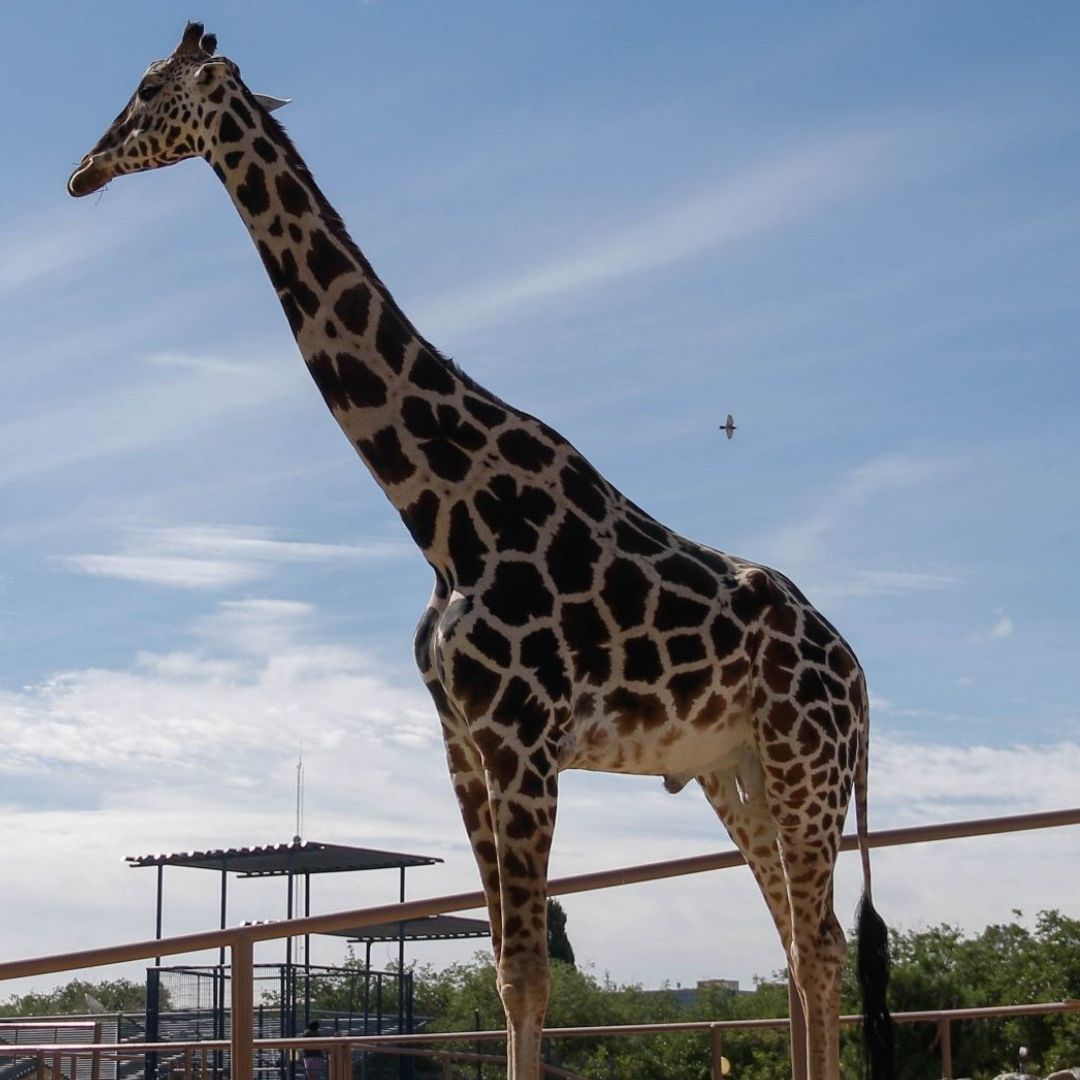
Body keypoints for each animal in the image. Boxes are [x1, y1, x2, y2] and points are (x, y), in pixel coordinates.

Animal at [68, 24, 894, 1080]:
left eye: (146, 91)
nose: (82, 171)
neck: (441, 515)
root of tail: (859, 674)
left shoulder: (523, 745)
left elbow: (532, 976)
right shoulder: (462, 746)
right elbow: (506, 970)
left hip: (805, 759)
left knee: (822, 942)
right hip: (735, 766)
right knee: (796, 938)